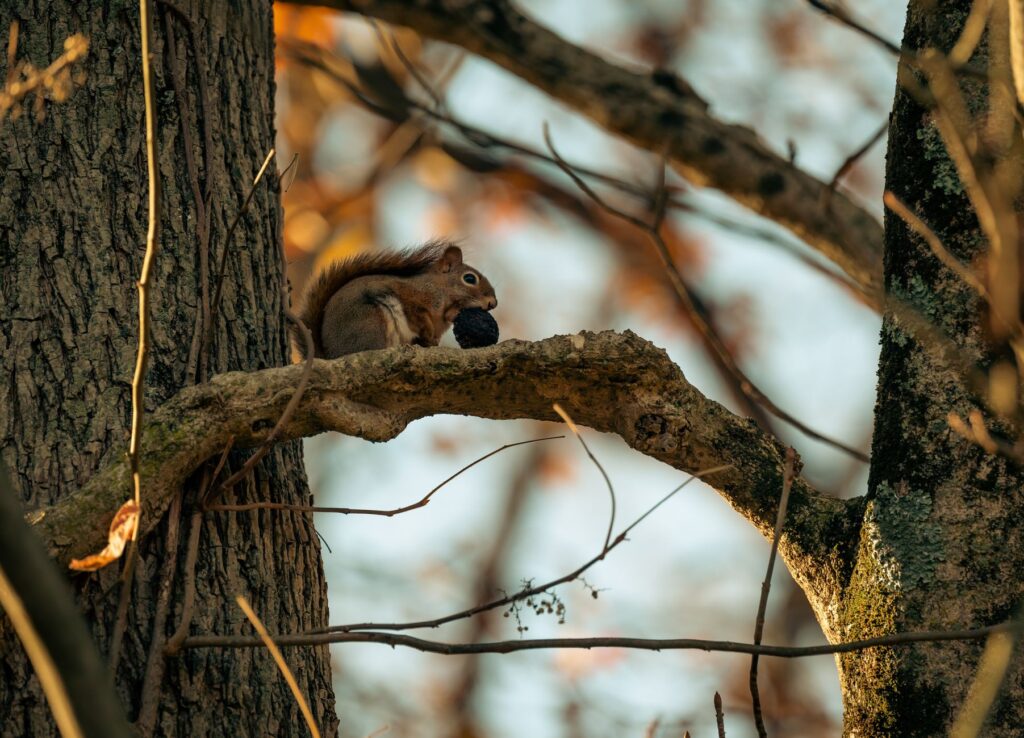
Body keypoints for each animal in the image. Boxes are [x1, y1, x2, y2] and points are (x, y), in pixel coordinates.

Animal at [295, 241, 497, 359]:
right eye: (469, 278)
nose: (493, 303)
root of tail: (333, 355)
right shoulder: (412, 298)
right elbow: (419, 319)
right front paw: (429, 336)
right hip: (372, 322)